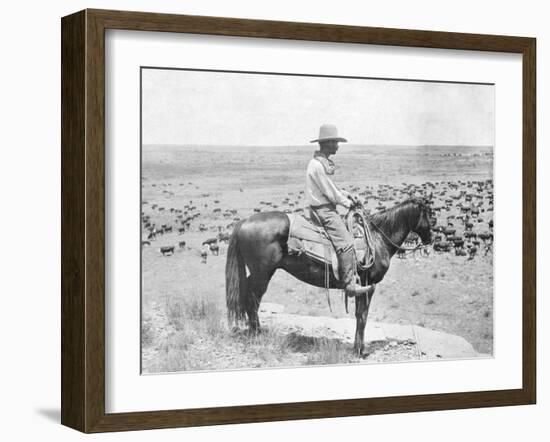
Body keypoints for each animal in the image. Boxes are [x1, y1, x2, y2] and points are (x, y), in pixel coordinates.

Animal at [226, 197, 434, 356]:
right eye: (428, 214)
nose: (430, 239)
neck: (377, 239)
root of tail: (243, 222)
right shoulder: (368, 285)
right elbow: (363, 316)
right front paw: (359, 351)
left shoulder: (362, 287)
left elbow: (359, 315)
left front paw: (358, 348)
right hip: (262, 274)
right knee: (252, 299)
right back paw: (257, 334)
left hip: (257, 273)